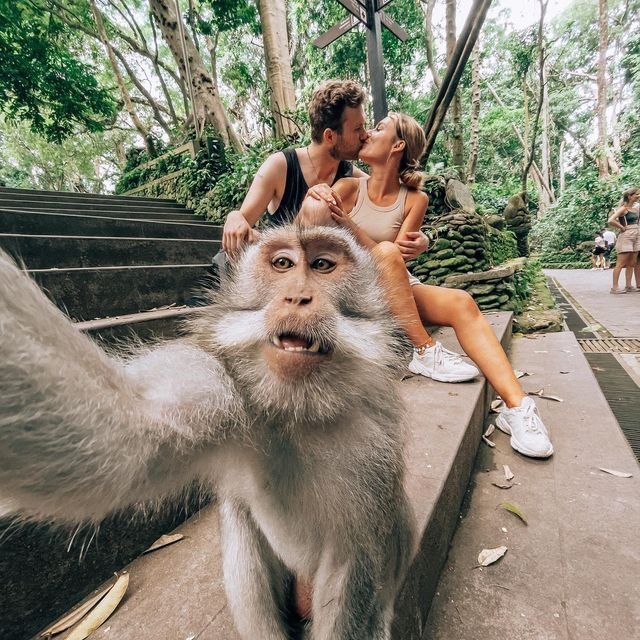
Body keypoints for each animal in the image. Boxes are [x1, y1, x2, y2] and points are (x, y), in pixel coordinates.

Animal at [0, 224, 416, 640]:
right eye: (283, 264)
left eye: (323, 265)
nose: (297, 297)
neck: (298, 409)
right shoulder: (216, 382)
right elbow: (119, 437)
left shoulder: (374, 442)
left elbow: (353, 560)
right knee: (239, 517)